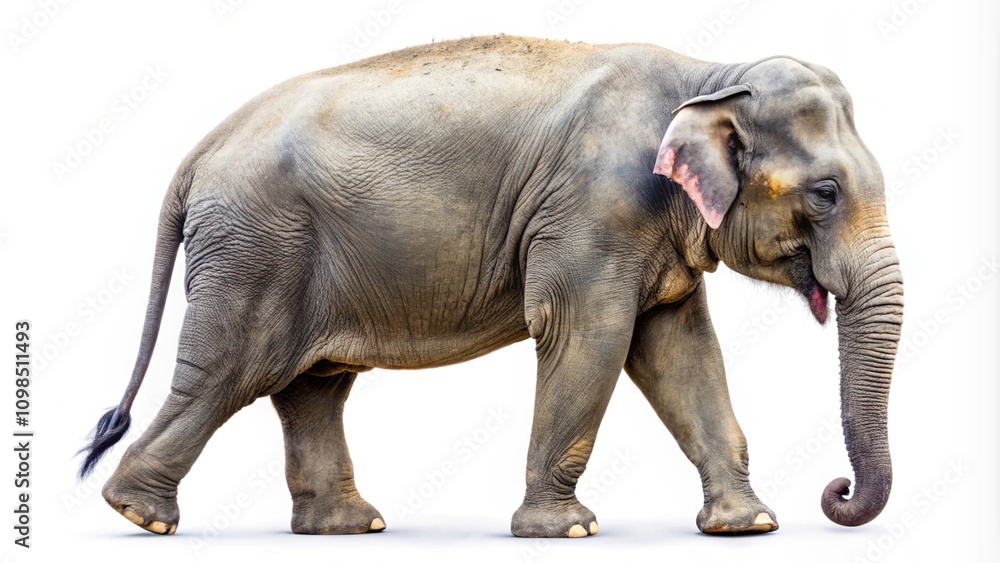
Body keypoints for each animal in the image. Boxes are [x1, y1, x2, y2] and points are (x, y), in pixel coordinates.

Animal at [79, 34, 903, 538]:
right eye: (826, 193)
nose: (835, 492)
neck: (708, 76)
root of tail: (199, 150)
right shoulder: (592, 209)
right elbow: (591, 336)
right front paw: (566, 529)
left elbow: (679, 350)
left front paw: (748, 525)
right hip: (254, 248)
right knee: (232, 370)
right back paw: (142, 515)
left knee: (313, 385)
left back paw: (349, 526)